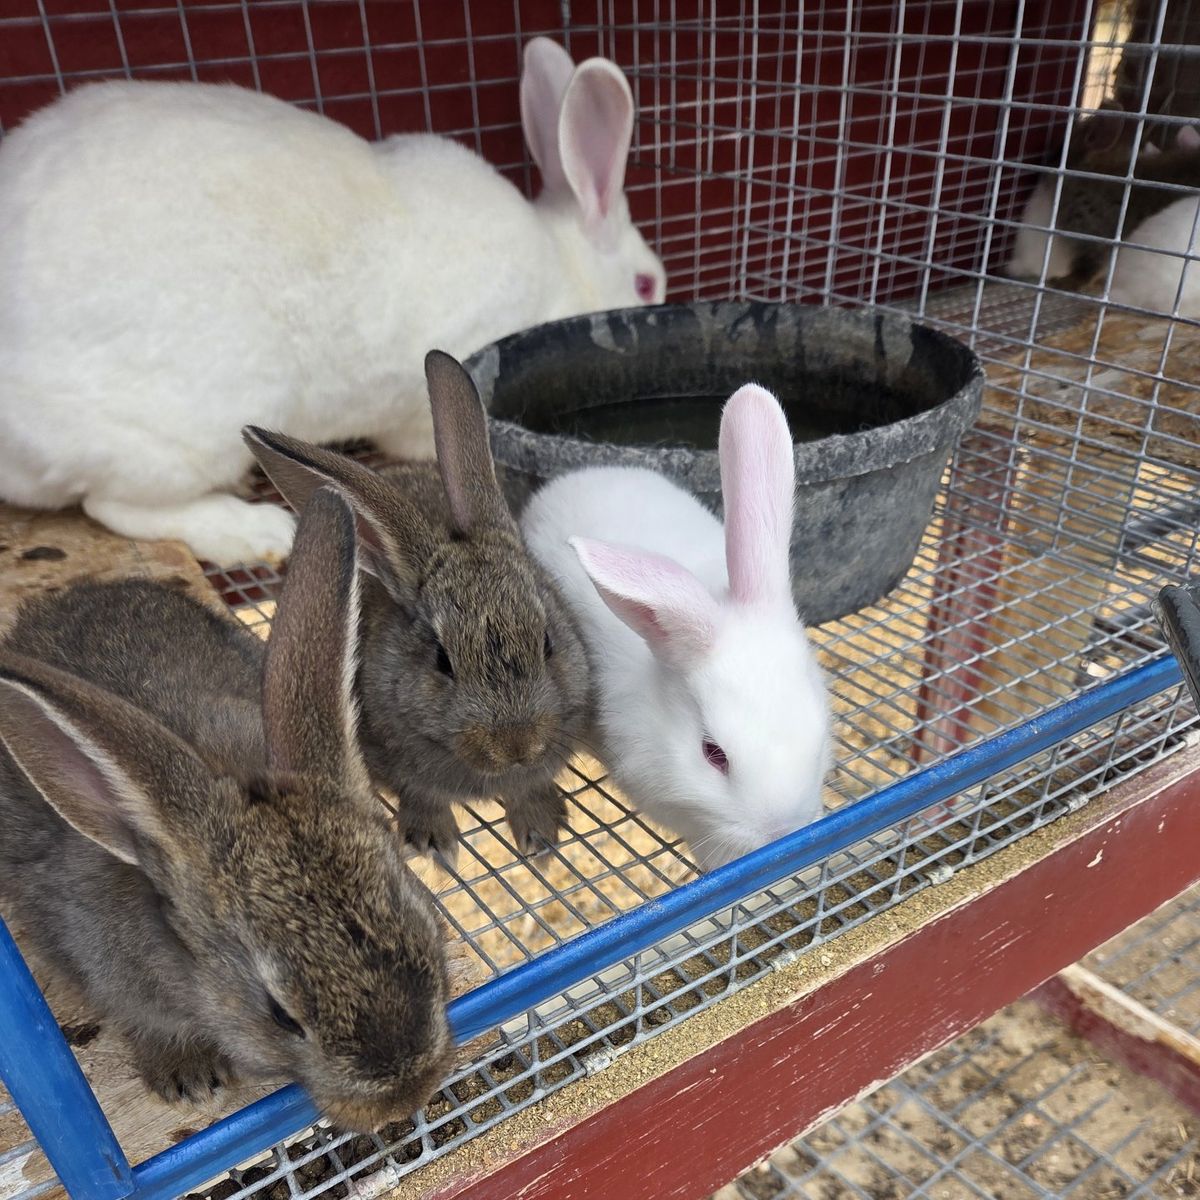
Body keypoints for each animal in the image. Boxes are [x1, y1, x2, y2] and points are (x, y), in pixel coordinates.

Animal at [0, 37, 666, 567]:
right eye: (646, 284)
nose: (655, 296)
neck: (563, 266)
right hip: (187, 427)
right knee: (111, 505)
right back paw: (255, 530)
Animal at [242, 351, 591, 871]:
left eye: (548, 643)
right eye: (442, 661)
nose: (516, 745)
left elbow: (530, 789)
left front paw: (542, 833)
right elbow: (422, 796)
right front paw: (435, 844)